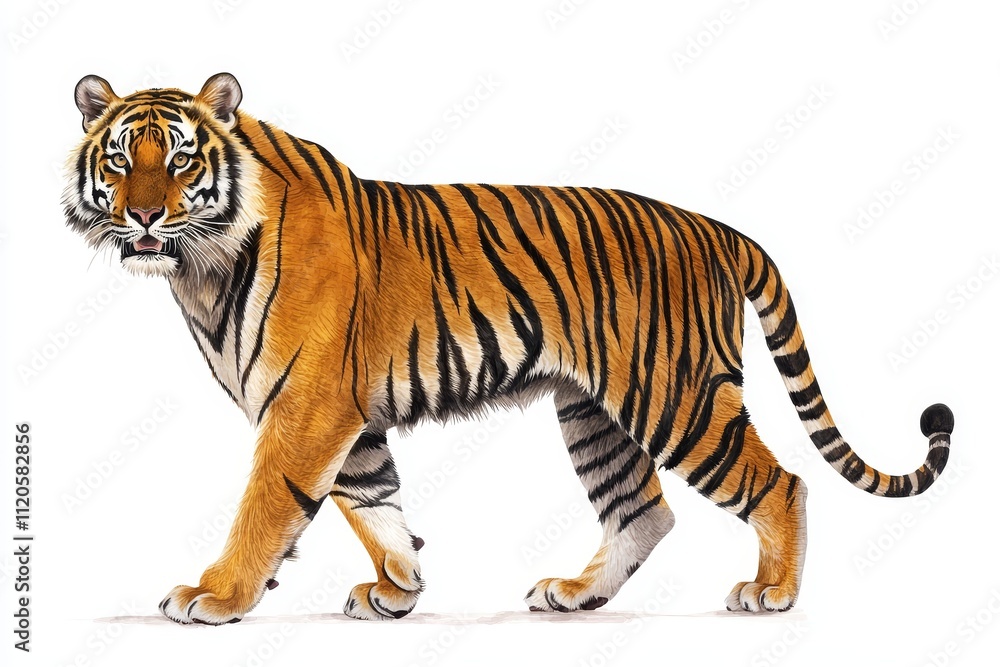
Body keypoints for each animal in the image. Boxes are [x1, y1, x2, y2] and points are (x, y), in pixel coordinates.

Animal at [63, 73, 954, 624]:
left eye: (181, 159)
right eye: (121, 157)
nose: (144, 216)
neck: (201, 268)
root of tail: (717, 228)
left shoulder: (307, 405)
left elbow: (267, 507)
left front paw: (214, 596)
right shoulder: (344, 413)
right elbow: (374, 501)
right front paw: (400, 589)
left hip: (676, 396)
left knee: (780, 482)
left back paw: (772, 592)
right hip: (595, 411)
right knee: (645, 510)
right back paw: (576, 593)